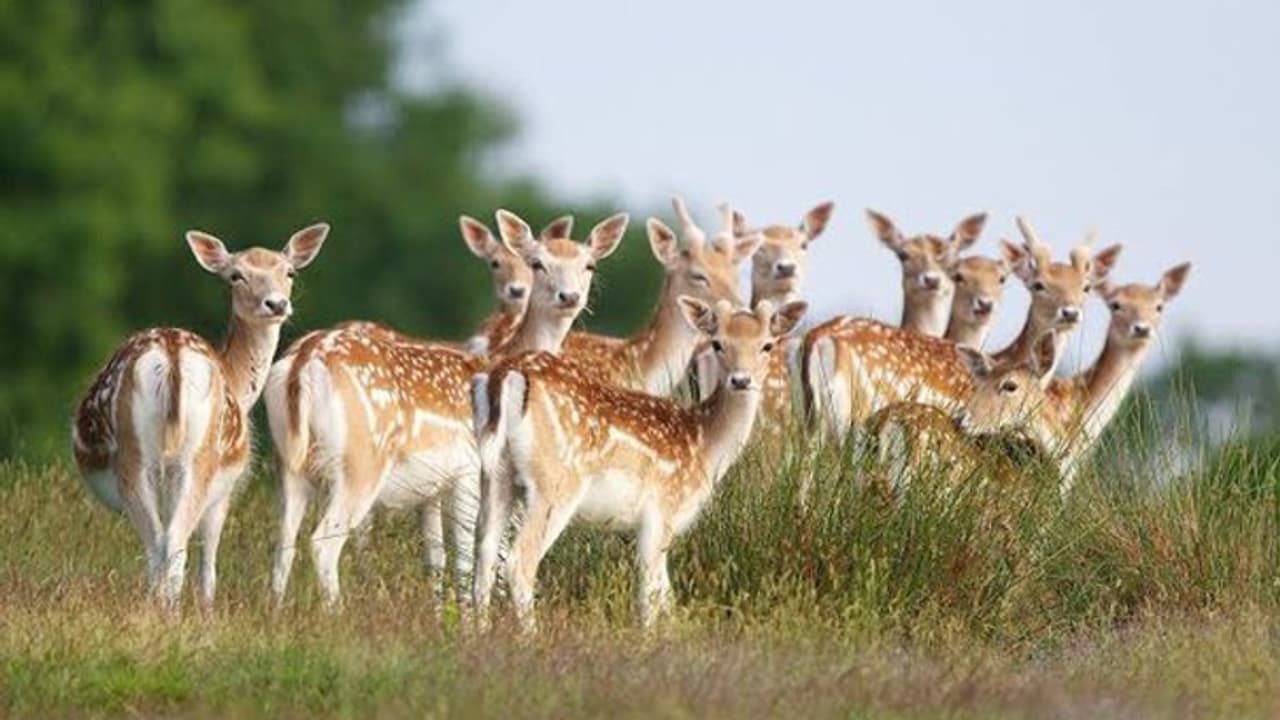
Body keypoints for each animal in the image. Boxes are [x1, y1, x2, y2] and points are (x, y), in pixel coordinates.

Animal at [71, 223, 329, 609]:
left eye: (289, 272)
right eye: (236, 275)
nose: (276, 304)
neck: (238, 384)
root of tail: (172, 358)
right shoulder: (226, 490)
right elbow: (209, 562)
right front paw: (208, 609)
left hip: (143, 460)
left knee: (159, 545)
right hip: (196, 459)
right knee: (172, 544)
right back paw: (171, 611)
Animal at [263, 210, 627, 607]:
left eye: (589, 264)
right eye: (537, 263)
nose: (569, 296)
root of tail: (302, 363)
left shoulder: (431, 490)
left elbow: (435, 557)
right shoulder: (469, 469)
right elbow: (469, 556)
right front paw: (469, 616)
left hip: (289, 463)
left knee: (284, 540)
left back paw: (277, 610)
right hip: (361, 461)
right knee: (322, 543)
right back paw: (337, 612)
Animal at [471, 297, 808, 631]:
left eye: (767, 345)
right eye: (717, 343)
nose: (740, 380)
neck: (704, 446)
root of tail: (505, 374)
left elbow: (666, 596)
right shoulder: (662, 510)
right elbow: (651, 595)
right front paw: (651, 638)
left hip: (496, 474)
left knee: (484, 555)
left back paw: (480, 631)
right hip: (556, 482)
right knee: (520, 561)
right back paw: (530, 635)